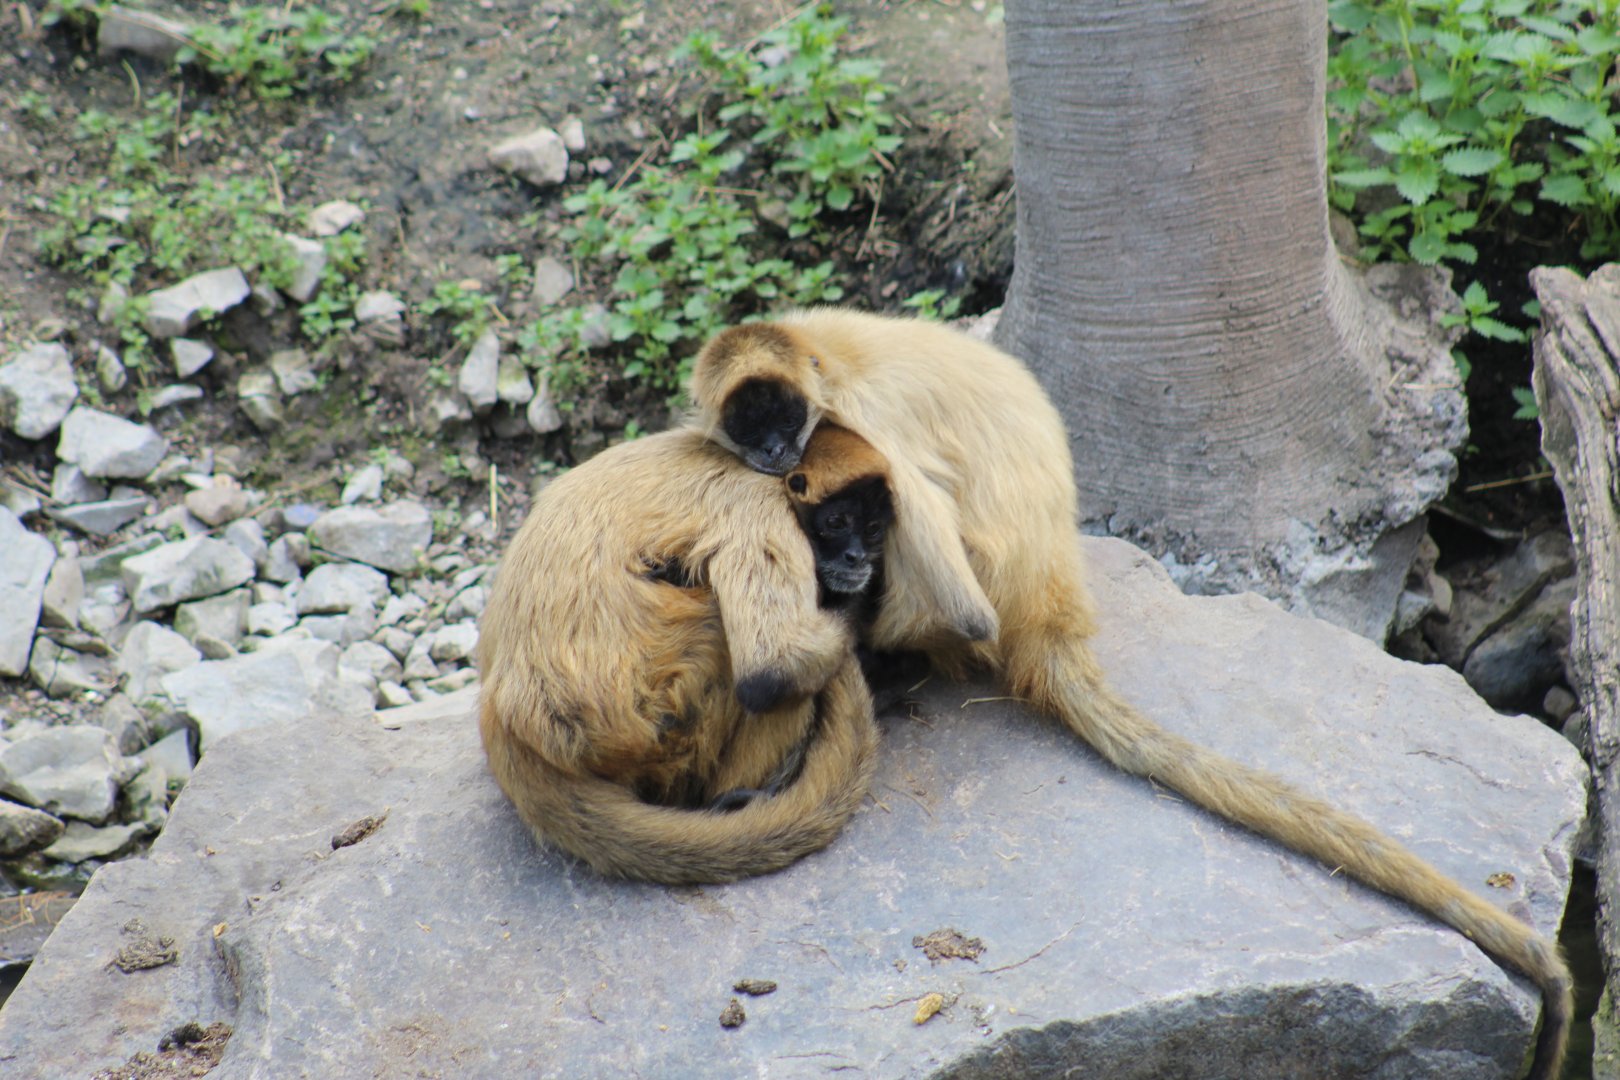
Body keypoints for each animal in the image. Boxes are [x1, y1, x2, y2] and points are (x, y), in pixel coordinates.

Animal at [477, 426, 888, 885]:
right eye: (836, 523)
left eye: (873, 529)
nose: (855, 557)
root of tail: (504, 710)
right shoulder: (759, 505)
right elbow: (769, 672)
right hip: (662, 713)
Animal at [689, 308, 1573, 1078]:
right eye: (749, 423)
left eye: (784, 419)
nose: (775, 449)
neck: (819, 353)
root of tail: (1052, 603)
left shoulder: (856, 420)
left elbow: (954, 592)